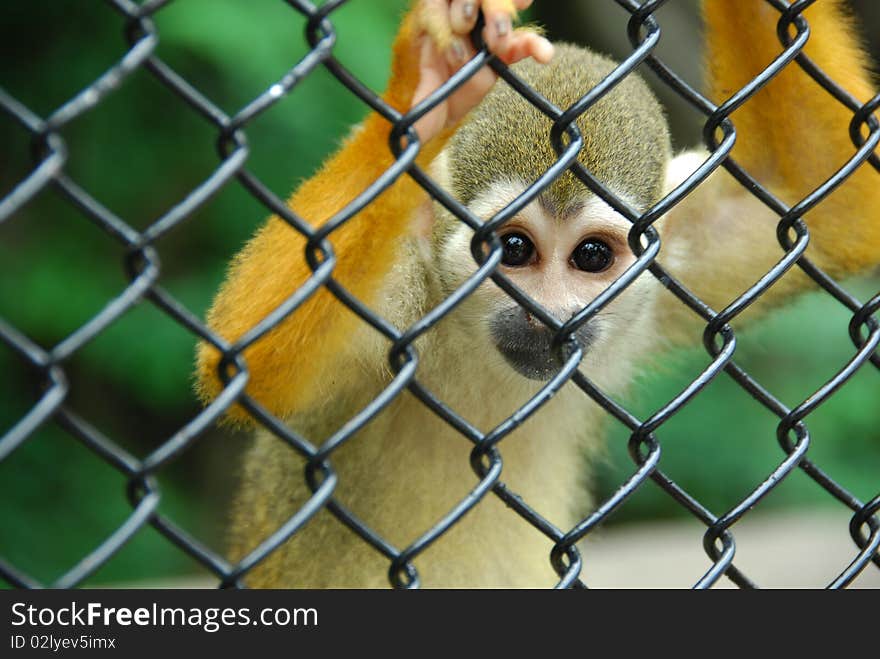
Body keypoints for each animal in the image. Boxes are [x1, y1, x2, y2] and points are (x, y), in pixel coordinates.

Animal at [198, 0, 880, 588]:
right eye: (515, 250)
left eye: (592, 256)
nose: (548, 318)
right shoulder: (403, 296)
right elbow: (249, 361)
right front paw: (425, 85)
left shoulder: (673, 249)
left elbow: (819, 201)